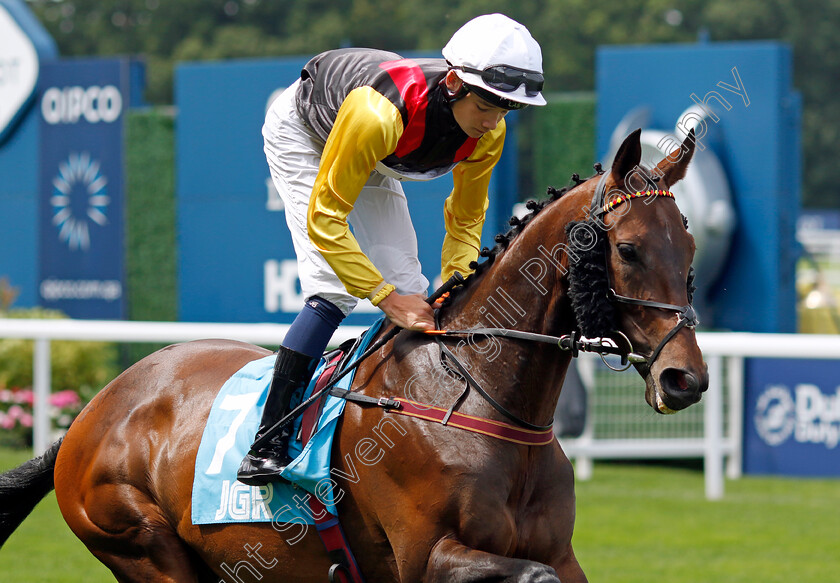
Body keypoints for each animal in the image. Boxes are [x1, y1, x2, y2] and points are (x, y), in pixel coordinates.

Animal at [0, 130, 708, 580]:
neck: (481, 398)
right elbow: (532, 576)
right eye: (628, 249)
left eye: (690, 249)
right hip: (141, 545)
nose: (685, 379)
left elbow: (553, 570)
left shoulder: (560, 552)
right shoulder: (429, 556)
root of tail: (93, 411)